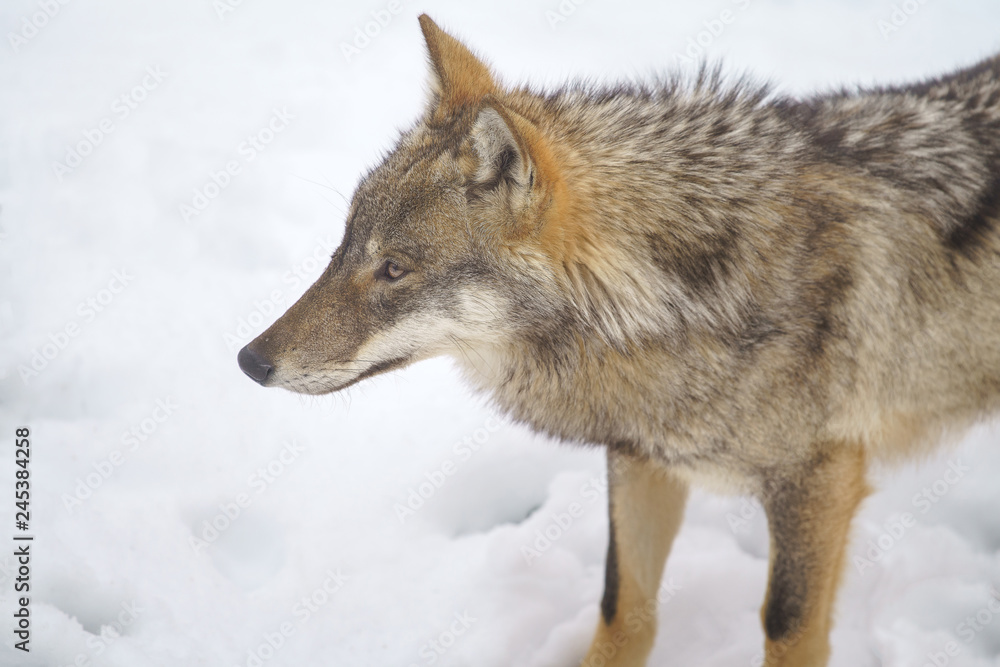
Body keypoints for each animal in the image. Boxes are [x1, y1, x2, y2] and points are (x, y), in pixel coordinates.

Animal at [238, 14, 1000, 667]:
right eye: (342, 247)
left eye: (394, 269)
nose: (249, 360)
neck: (682, 299)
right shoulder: (642, 459)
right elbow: (623, 609)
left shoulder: (820, 480)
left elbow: (787, 629)